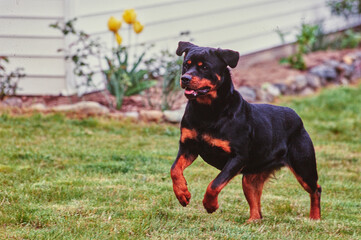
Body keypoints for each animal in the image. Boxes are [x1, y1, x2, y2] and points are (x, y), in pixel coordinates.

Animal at [170, 40, 322, 221]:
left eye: (205, 67)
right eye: (186, 65)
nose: (185, 78)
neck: (208, 110)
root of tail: (297, 117)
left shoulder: (238, 157)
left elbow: (215, 184)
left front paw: (210, 205)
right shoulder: (188, 147)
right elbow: (174, 170)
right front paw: (182, 193)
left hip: (303, 165)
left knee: (316, 189)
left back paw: (315, 218)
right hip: (251, 177)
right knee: (255, 200)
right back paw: (252, 221)